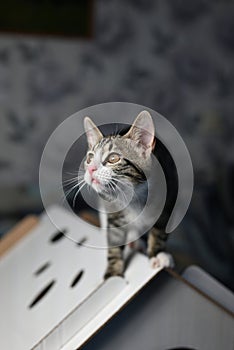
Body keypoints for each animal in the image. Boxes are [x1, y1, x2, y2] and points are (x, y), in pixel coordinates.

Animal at [82, 110, 177, 278]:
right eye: (90, 158)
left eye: (113, 158)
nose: (91, 169)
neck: (134, 197)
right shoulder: (113, 210)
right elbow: (114, 240)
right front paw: (113, 275)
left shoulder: (169, 197)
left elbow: (159, 231)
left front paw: (158, 254)